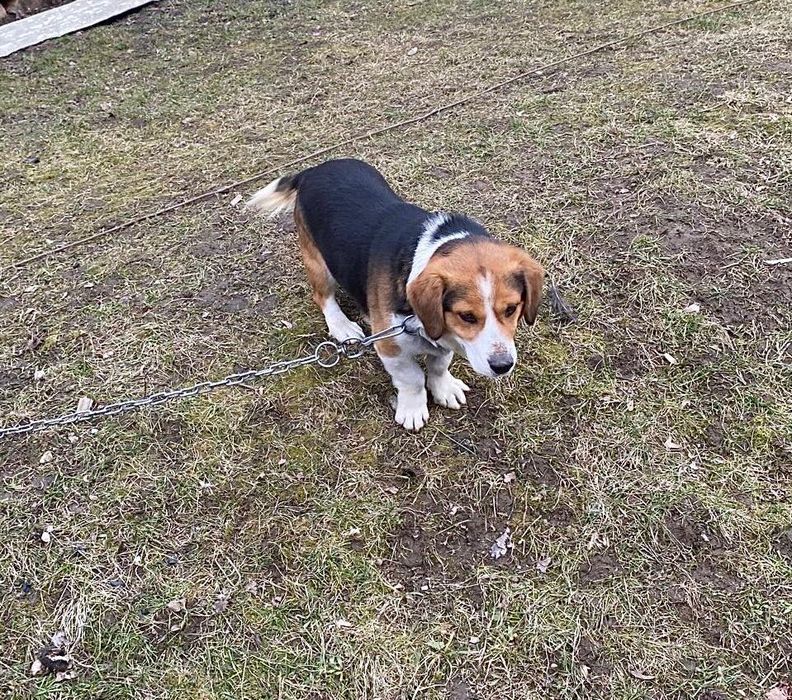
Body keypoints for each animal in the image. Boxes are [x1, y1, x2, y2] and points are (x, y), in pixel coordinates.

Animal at [246, 158, 544, 431]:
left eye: (511, 309)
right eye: (467, 316)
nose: (502, 366)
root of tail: (312, 170)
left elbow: (439, 364)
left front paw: (444, 388)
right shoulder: (390, 347)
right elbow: (412, 378)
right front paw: (412, 409)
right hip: (319, 263)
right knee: (323, 297)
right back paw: (342, 325)